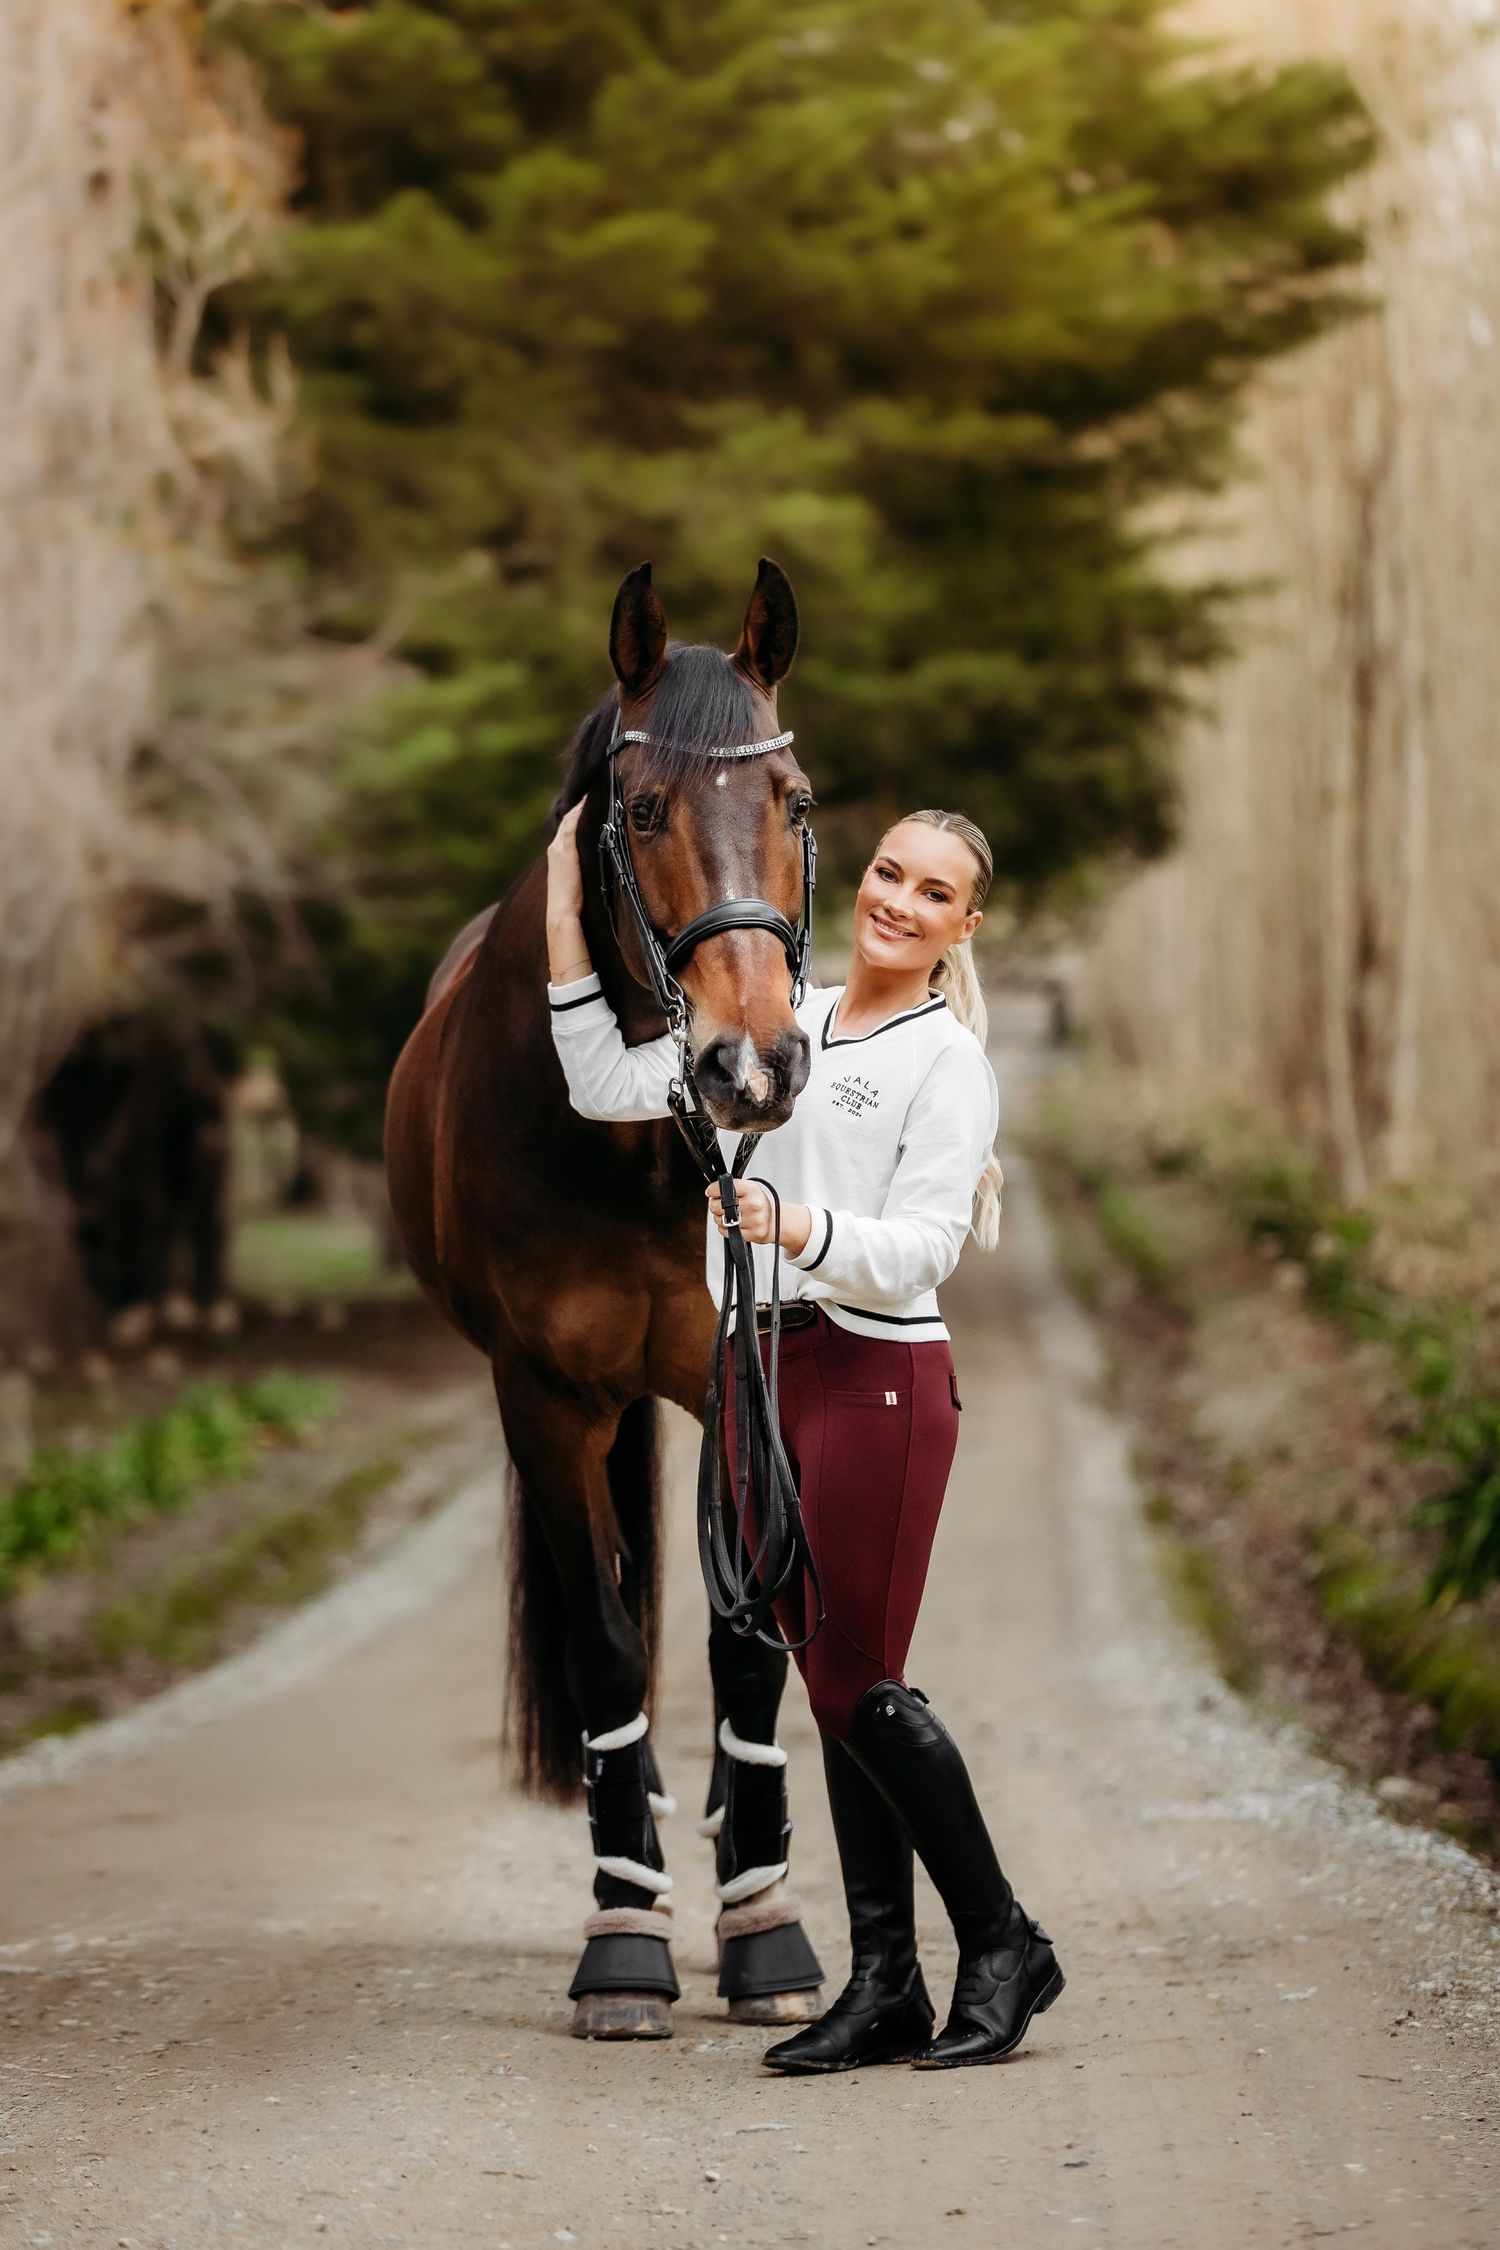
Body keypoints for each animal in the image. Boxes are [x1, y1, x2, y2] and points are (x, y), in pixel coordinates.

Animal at [384, 558, 827, 2038]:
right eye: (640, 811)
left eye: (792, 801)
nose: (755, 1063)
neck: (636, 1140)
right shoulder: (545, 1399)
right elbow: (607, 1639)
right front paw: (625, 1934)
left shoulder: (740, 1379)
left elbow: (746, 1642)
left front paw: (764, 1923)